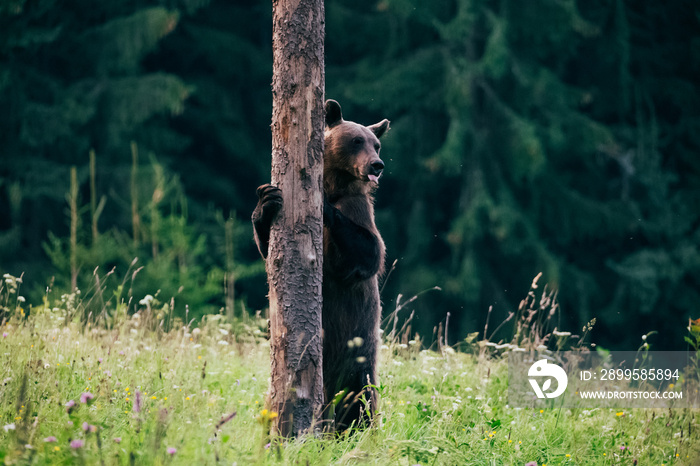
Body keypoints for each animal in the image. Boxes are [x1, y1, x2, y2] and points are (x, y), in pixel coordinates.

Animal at [254, 100, 392, 432]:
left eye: (376, 143)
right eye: (356, 140)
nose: (377, 165)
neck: (335, 185)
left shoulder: (359, 213)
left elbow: (370, 254)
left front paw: (325, 208)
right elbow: (267, 249)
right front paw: (265, 201)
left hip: (358, 352)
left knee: (359, 398)